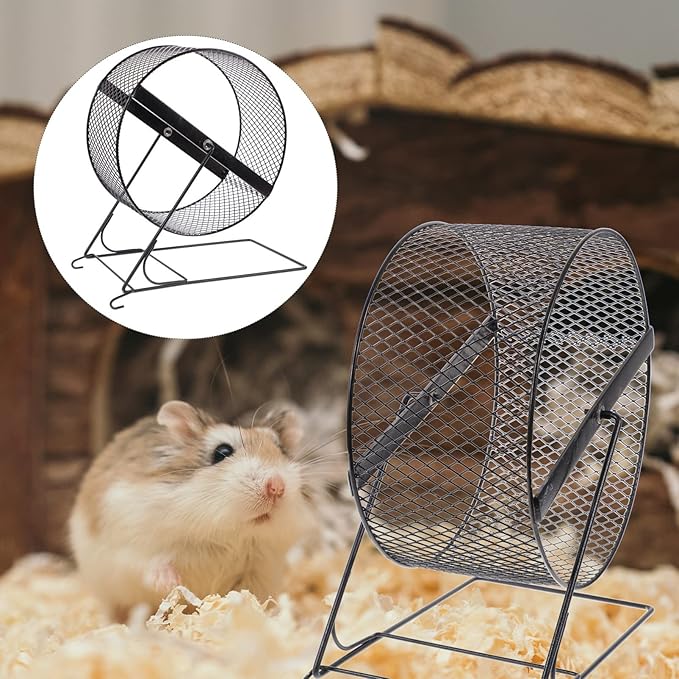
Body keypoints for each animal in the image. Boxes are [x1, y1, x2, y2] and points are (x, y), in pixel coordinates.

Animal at [69, 400, 315, 617]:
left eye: (281, 450)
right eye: (222, 452)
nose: (277, 486)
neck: (227, 534)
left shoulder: (260, 570)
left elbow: (249, 596)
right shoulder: (132, 545)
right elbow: (150, 564)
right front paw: (172, 583)